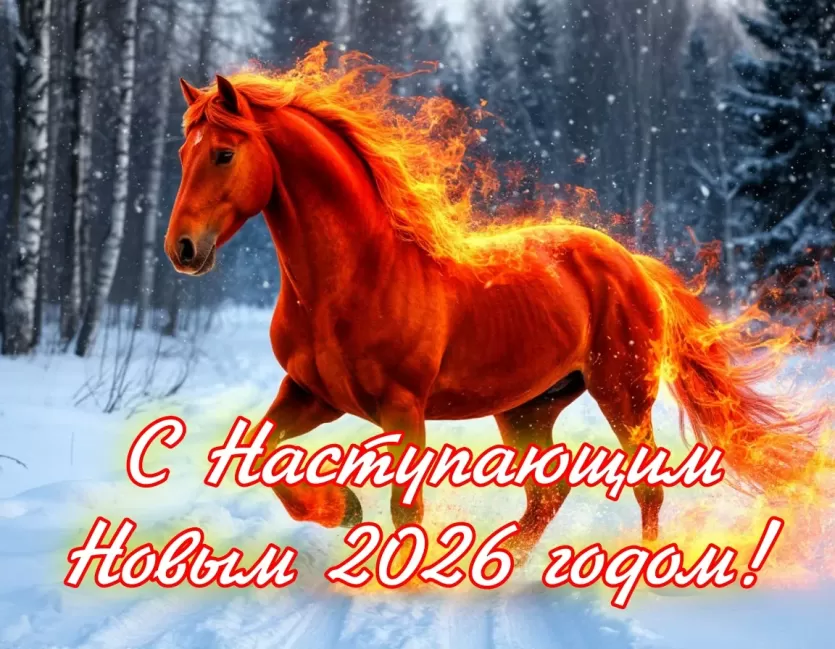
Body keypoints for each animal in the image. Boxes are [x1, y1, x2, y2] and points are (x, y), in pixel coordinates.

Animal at [164, 47, 822, 561]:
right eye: (182, 154)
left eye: (223, 153)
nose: (182, 249)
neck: (350, 280)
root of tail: (632, 263)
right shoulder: (311, 395)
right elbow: (260, 455)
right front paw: (342, 509)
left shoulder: (403, 409)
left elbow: (406, 509)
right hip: (529, 409)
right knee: (547, 495)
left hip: (623, 391)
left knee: (647, 487)